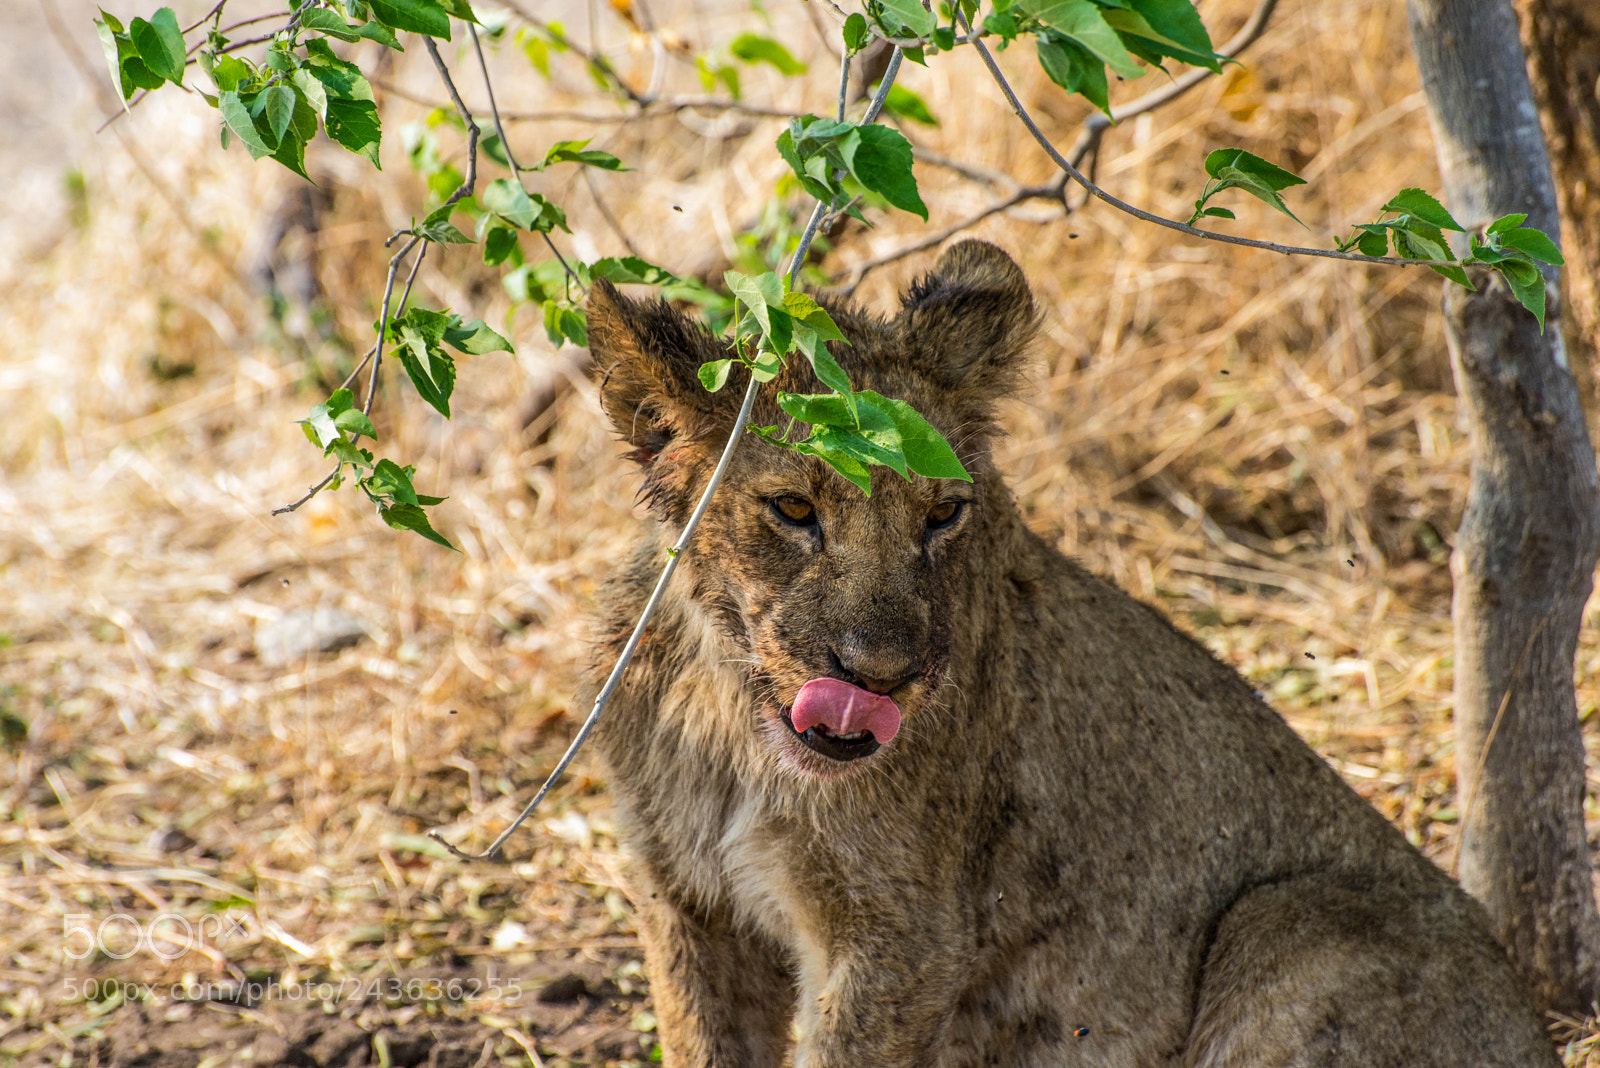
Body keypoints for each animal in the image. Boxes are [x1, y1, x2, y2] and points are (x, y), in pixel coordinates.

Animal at [581, 241, 1556, 1066]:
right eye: (792, 509)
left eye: (943, 515)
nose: (882, 676)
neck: (728, 717)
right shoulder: (685, 900)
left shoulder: (902, 937)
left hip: (1292, 924)